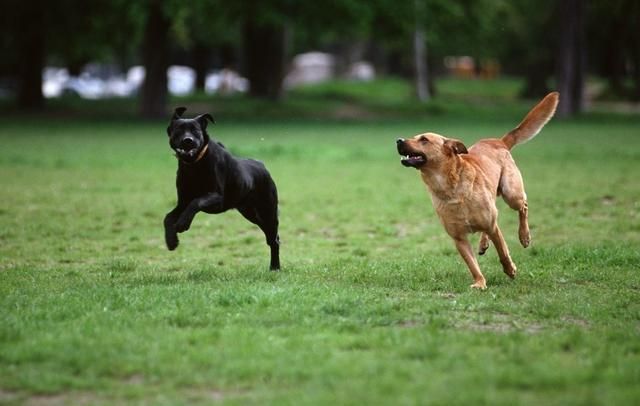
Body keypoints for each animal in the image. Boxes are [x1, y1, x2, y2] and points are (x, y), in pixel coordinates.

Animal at [164, 108, 278, 270]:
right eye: (178, 130)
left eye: (196, 130)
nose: (188, 140)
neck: (194, 165)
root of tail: (262, 165)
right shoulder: (183, 202)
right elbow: (168, 217)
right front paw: (172, 241)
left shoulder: (217, 198)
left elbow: (196, 202)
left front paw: (182, 224)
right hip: (251, 213)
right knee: (270, 236)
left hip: (268, 211)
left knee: (274, 240)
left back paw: (275, 267)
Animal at [398, 93, 556, 288]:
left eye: (424, 140)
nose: (398, 140)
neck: (450, 189)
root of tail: (499, 141)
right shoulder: (459, 238)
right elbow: (472, 265)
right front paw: (480, 283)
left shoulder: (492, 226)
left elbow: (503, 252)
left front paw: (510, 270)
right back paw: (483, 244)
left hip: (512, 194)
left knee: (523, 206)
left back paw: (524, 236)